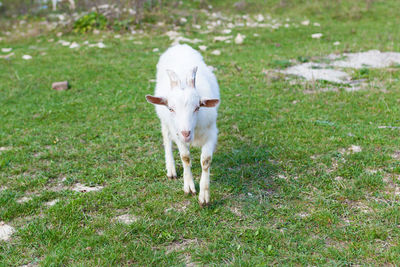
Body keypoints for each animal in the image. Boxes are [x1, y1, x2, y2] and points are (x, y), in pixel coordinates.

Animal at [147, 44, 220, 207]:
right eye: (171, 108)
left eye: (197, 107)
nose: (186, 133)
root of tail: (179, 45)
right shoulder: (177, 134)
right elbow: (185, 157)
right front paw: (189, 186)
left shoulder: (212, 132)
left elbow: (206, 160)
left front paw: (204, 196)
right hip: (165, 123)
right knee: (166, 139)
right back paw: (171, 169)